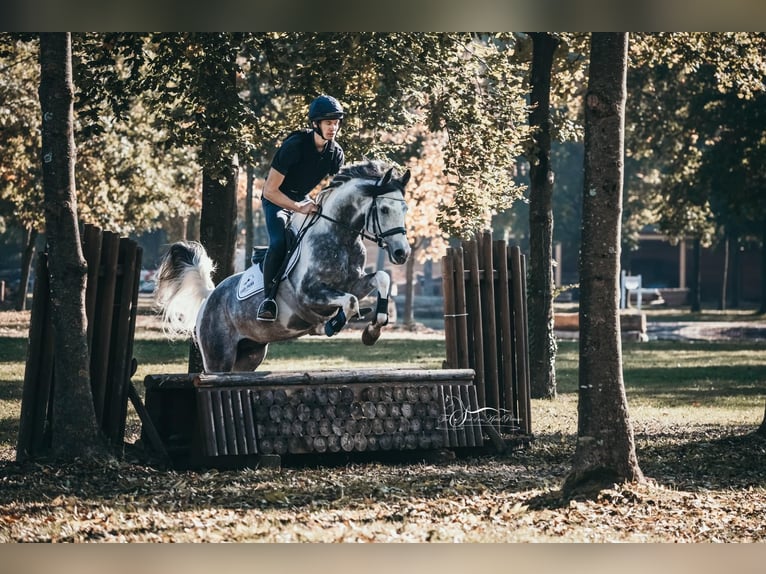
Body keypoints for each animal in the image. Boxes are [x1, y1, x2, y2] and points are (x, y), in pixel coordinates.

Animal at [153, 159, 412, 373]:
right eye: (384, 209)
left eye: (405, 209)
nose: (402, 253)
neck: (340, 237)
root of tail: (209, 297)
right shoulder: (308, 295)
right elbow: (349, 301)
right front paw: (332, 325)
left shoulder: (354, 284)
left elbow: (381, 279)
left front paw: (372, 331)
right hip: (218, 358)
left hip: (250, 355)